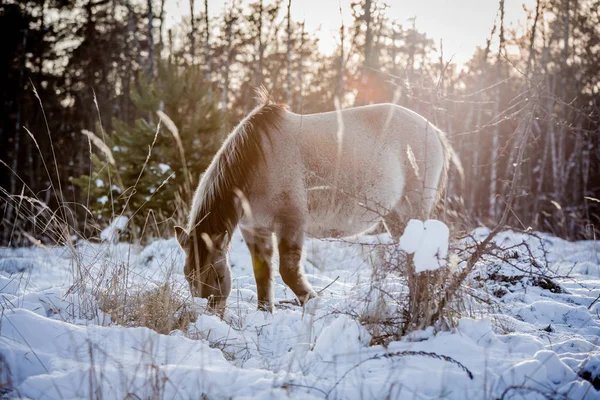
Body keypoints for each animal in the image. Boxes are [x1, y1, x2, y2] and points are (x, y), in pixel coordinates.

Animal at [173, 90, 460, 312]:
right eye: (188, 275)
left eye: (219, 274)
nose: (210, 312)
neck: (256, 162)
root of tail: (435, 132)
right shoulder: (255, 230)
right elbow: (262, 274)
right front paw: (265, 313)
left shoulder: (291, 224)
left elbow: (289, 272)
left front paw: (313, 303)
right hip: (395, 217)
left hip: (412, 212)